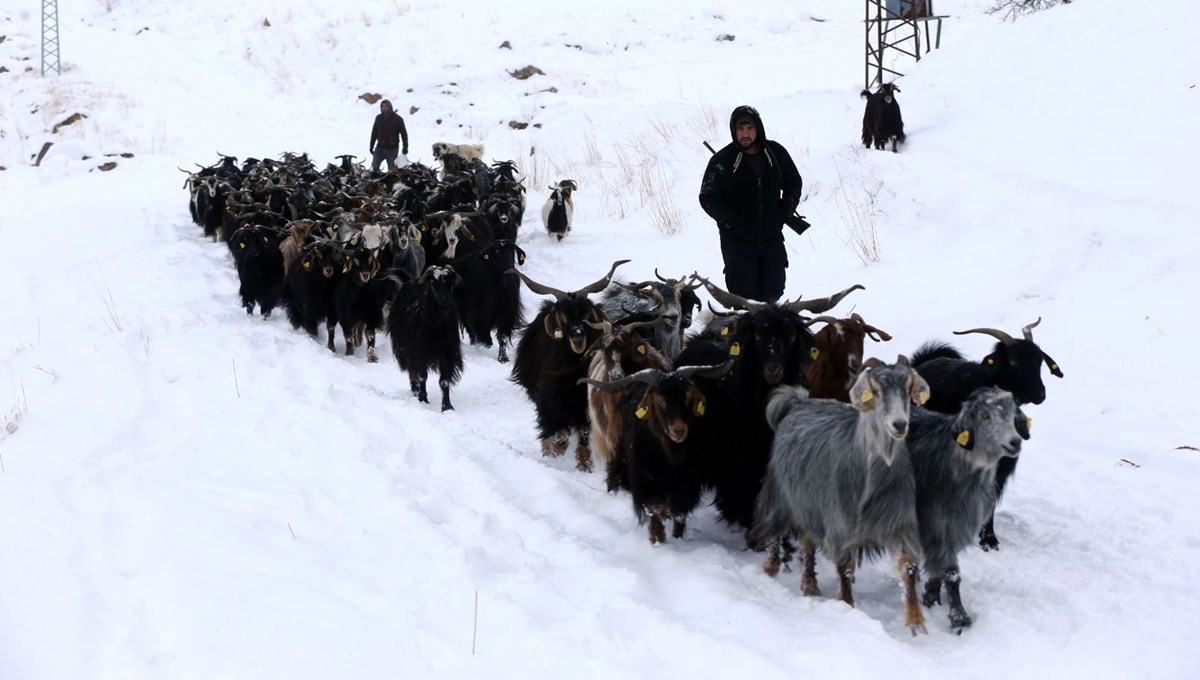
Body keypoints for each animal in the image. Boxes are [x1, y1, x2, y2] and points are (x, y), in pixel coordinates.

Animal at [388, 266, 463, 412]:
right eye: (432, 281)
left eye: (450, 280)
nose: (444, 298)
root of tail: (407, 282)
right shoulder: (419, 351)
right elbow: (423, 376)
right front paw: (422, 399)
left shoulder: (447, 352)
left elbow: (444, 381)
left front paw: (447, 406)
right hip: (405, 349)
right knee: (412, 371)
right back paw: (415, 389)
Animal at [508, 260, 628, 467]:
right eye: (562, 317)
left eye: (586, 315)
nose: (578, 338)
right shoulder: (550, 399)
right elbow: (558, 432)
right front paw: (554, 449)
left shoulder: (584, 405)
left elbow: (583, 433)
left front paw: (584, 464)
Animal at [907, 388, 1032, 633]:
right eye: (984, 415)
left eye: (1013, 415)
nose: (1015, 442)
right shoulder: (936, 521)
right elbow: (946, 569)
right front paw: (959, 618)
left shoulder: (954, 525)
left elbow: (947, 571)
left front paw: (933, 597)